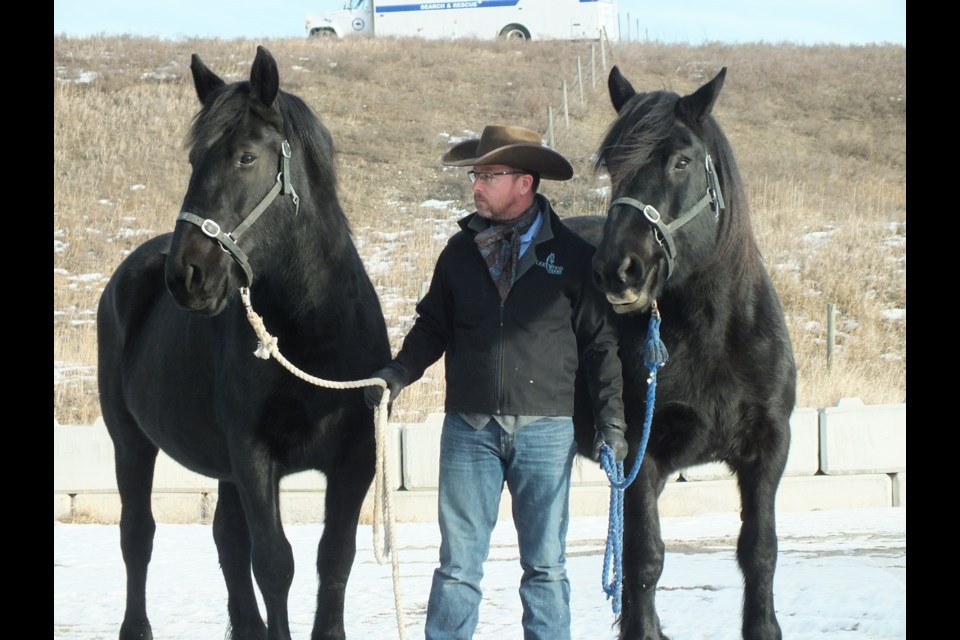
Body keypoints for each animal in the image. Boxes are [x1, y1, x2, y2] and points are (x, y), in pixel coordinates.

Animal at [96, 46, 390, 640]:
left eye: (246, 158)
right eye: (193, 162)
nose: (187, 275)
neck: (313, 338)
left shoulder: (355, 460)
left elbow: (335, 557)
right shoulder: (254, 457)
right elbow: (274, 563)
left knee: (226, 541)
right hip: (130, 443)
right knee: (138, 536)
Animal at [568, 66, 796, 640]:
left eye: (682, 161)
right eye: (613, 165)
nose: (617, 270)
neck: (712, 335)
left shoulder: (769, 449)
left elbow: (759, 551)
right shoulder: (640, 455)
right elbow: (646, 559)